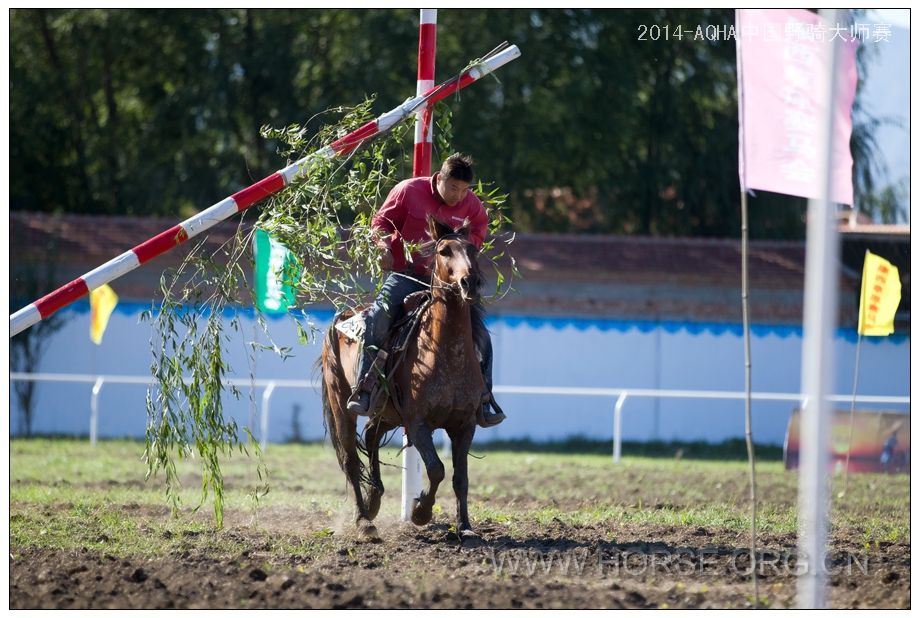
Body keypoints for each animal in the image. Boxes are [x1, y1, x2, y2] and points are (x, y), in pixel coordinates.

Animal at [320, 215, 486, 540]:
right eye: (444, 251)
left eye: (472, 249)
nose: (469, 282)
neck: (446, 352)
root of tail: (342, 318)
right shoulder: (417, 423)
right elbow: (436, 469)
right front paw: (421, 512)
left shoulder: (465, 425)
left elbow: (460, 477)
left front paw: (465, 526)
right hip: (341, 405)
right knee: (350, 459)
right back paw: (364, 521)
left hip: (386, 412)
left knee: (370, 436)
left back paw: (374, 499)